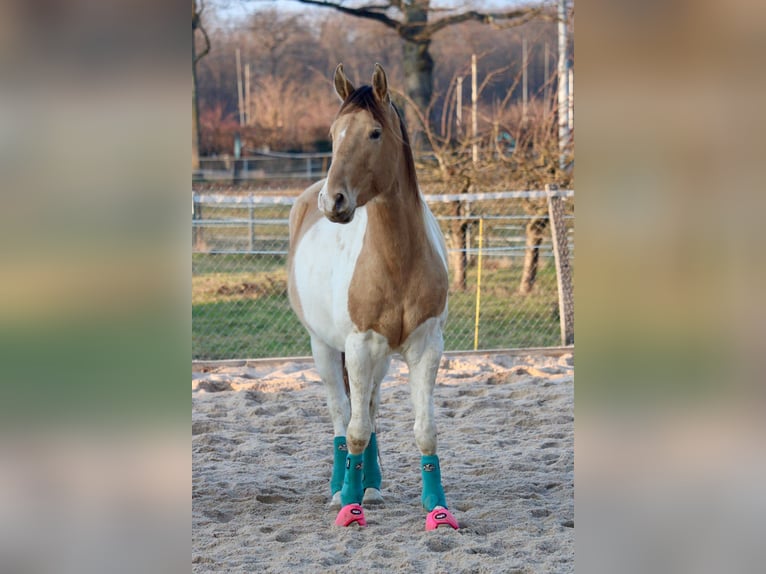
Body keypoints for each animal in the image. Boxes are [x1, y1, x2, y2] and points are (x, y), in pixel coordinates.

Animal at [287, 63, 457, 531]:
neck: (398, 258)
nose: (333, 200)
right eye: (333, 133)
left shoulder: (425, 347)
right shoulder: (358, 345)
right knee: (341, 416)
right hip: (326, 348)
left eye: (375, 133)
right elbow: (355, 429)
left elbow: (424, 430)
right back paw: (341, 488)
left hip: (378, 360)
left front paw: (437, 508)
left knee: (371, 407)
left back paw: (372, 485)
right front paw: (349, 504)